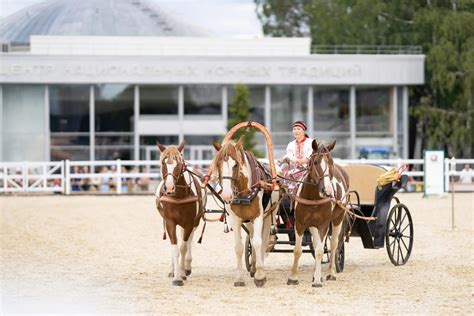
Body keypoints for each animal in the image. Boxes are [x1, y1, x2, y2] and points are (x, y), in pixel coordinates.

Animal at [156, 141, 207, 286]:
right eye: (163, 163)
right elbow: (175, 248)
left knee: (188, 241)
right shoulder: (170, 222)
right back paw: (174, 269)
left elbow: (183, 247)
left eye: (179, 164)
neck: (178, 196)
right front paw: (176, 276)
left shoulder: (190, 223)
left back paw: (186, 267)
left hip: (195, 222)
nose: (169, 188)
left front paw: (182, 274)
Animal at [211, 137, 282, 288]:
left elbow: (258, 242)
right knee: (252, 236)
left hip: (270, 215)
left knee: (263, 240)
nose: (227, 195)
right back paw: (254, 266)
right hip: (248, 221)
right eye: (219, 164)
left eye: (236, 165)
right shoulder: (236, 220)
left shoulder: (258, 217)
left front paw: (260, 276)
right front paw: (239, 278)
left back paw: (259, 268)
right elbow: (238, 247)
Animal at [286, 139, 350, 288]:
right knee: (316, 245)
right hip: (313, 225)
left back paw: (330, 273)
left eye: (331, 162)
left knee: (334, 245)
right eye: (315, 162)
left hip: (338, 219)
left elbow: (321, 251)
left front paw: (317, 281)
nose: (327, 190)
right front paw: (293, 277)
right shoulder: (300, 223)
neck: (313, 197)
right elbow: (298, 250)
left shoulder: (323, 224)